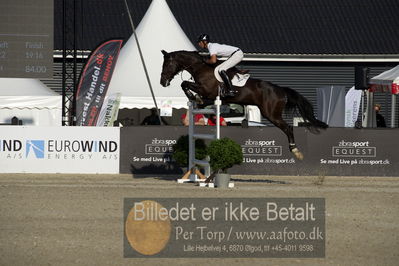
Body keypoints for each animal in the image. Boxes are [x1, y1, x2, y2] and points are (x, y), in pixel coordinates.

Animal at [159, 49, 328, 160]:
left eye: (167, 65)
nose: (162, 82)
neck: (201, 67)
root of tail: (281, 90)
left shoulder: (206, 90)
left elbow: (185, 84)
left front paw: (194, 97)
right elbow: (186, 85)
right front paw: (196, 99)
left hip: (271, 113)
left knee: (288, 128)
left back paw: (295, 151)